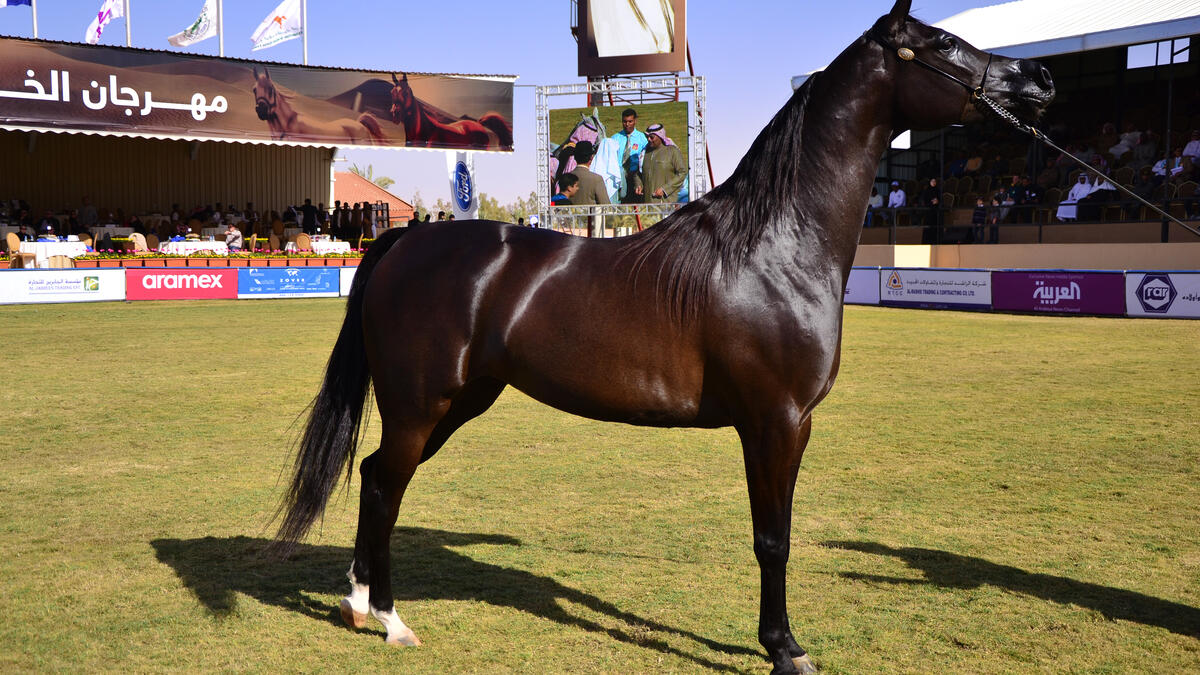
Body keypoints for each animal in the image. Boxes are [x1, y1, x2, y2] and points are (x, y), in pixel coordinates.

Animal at [275, 2, 1053, 672]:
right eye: (942, 43)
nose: (1038, 79)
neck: (775, 245)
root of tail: (406, 239)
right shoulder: (775, 422)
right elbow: (773, 539)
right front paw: (784, 649)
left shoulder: (784, 425)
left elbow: (776, 532)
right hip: (420, 406)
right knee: (385, 486)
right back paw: (391, 619)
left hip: (457, 402)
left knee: (374, 475)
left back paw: (358, 603)